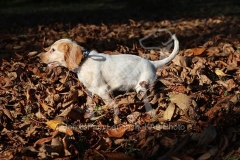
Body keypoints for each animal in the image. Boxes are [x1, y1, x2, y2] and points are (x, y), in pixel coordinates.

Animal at [41, 33, 179, 107]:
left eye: (53, 50)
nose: (39, 57)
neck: (84, 62)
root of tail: (151, 63)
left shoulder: (102, 90)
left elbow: (109, 103)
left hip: (142, 85)